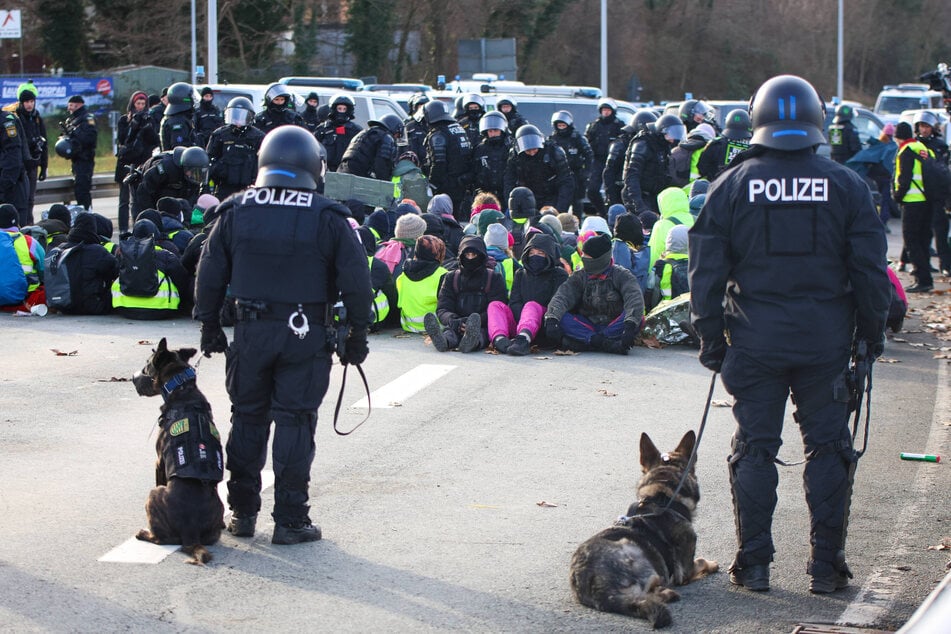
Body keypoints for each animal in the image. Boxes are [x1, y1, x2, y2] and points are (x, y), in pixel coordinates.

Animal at [133, 336, 226, 564]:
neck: (182, 388)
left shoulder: (158, 461)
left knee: (161, 539)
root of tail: (190, 533)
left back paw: (144, 533)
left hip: (154, 494)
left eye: (147, 365)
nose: (132, 378)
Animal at [568, 430, 716, 628]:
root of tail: (600, 589)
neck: (662, 498)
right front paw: (712, 564)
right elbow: (701, 562)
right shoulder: (686, 570)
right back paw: (666, 592)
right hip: (633, 551)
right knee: (650, 589)